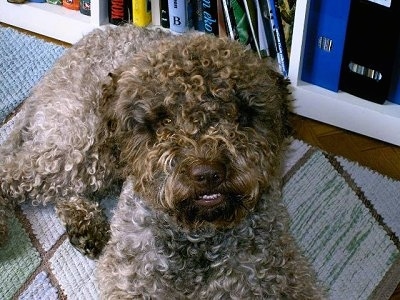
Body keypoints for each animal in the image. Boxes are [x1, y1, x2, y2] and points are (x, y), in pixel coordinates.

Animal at [0, 25, 324, 298]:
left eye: (242, 115)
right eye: (164, 120)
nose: (207, 174)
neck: (199, 238)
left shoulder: (278, 275)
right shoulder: (132, 277)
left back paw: (85, 224)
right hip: (85, 145)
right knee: (13, 172)